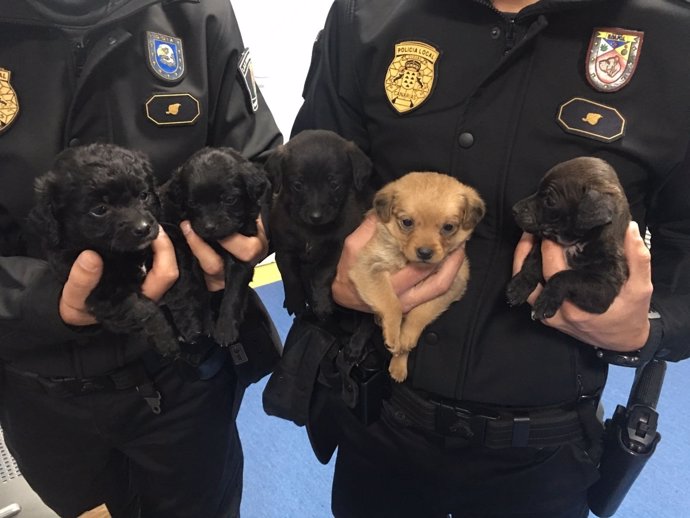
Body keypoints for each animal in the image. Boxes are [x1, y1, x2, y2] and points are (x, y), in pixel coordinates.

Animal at [29, 144, 180, 360]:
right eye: (100, 209)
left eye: (143, 195)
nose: (144, 228)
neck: (122, 254)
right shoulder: (106, 292)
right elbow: (142, 309)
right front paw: (166, 340)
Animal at [161, 148, 268, 348]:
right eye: (192, 203)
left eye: (229, 199)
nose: (209, 227)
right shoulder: (195, 261)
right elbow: (201, 294)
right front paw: (208, 324)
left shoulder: (241, 257)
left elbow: (233, 293)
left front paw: (225, 330)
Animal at [264, 129, 370, 320]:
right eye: (298, 185)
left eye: (334, 184)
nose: (316, 216)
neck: (311, 231)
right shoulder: (284, 250)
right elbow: (290, 276)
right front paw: (295, 301)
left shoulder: (339, 246)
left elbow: (321, 273)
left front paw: (321, 304)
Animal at [350, 173, 484, 384]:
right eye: (407, 222)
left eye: (448, 227)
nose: (425, 252)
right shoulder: (369, 267)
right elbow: (392, 304)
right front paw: (392, 333)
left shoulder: (451, 285)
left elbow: (420, 313)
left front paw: (405, 337)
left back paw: (398, 367)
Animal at [506, 156, 628, 322]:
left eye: (549, 201)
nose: (514, 209)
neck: (574, 243)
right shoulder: (542, 242)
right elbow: (534, 260)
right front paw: (520, 285)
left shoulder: (605, 287)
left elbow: (567, 276)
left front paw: (546, 301)